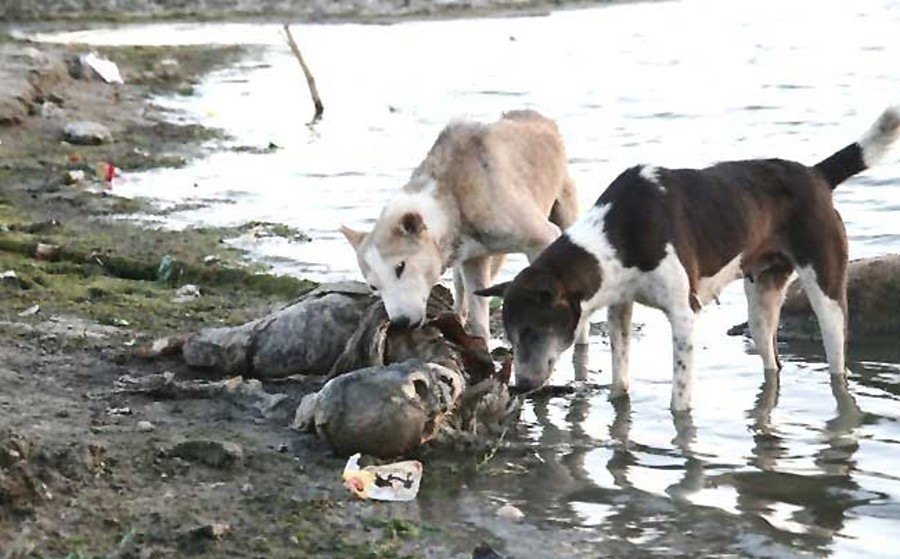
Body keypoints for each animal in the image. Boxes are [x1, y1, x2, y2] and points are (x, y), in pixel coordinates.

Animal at [340, 107, 584, 340]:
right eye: (373, 286)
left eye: (400, 267)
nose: (400, 323)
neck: (452, 198)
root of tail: (541, 119)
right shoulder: (473, 262)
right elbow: (479, 320)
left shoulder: (542, 238)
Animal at [478, 106, 900, 412]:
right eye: (512, 336)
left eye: (531, 330)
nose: (521, 386)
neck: (619, 233)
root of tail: (814, 175)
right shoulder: (620, 308)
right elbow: (620, 379)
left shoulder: (683, 314)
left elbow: (679, 398)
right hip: (762, 303)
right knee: (772, 362)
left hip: (826, 294)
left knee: (836, 364)